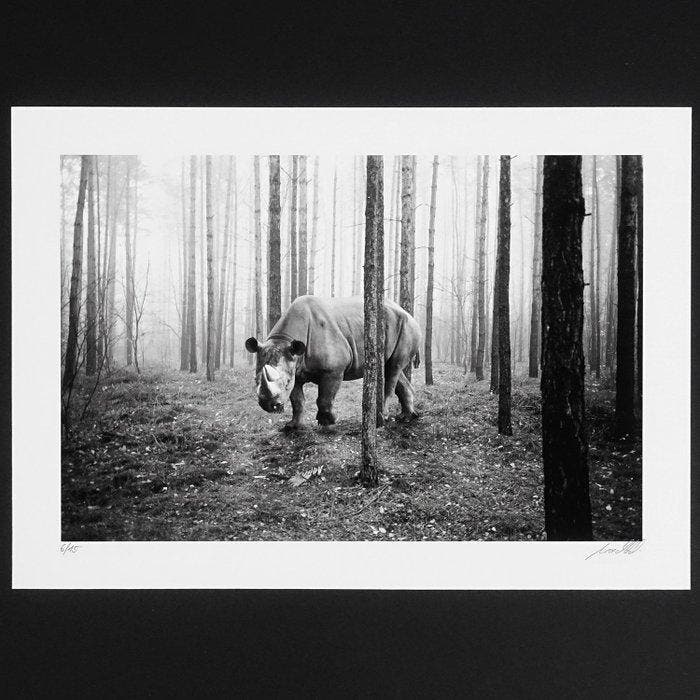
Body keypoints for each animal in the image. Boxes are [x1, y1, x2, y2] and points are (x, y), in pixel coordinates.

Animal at [245, 295, 421, 429]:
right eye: (255, 379)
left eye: (286, 382)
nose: (268, 405)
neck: (285, 340)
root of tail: (408, 313)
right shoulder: (295, 367)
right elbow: (297, 401)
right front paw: (292, 427)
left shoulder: (334, 369)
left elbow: (324, 398)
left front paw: (328, 422)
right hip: (399, 326)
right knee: (392, 368)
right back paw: (407, 417)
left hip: (408, 326)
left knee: (394, 368)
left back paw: (383, 418)